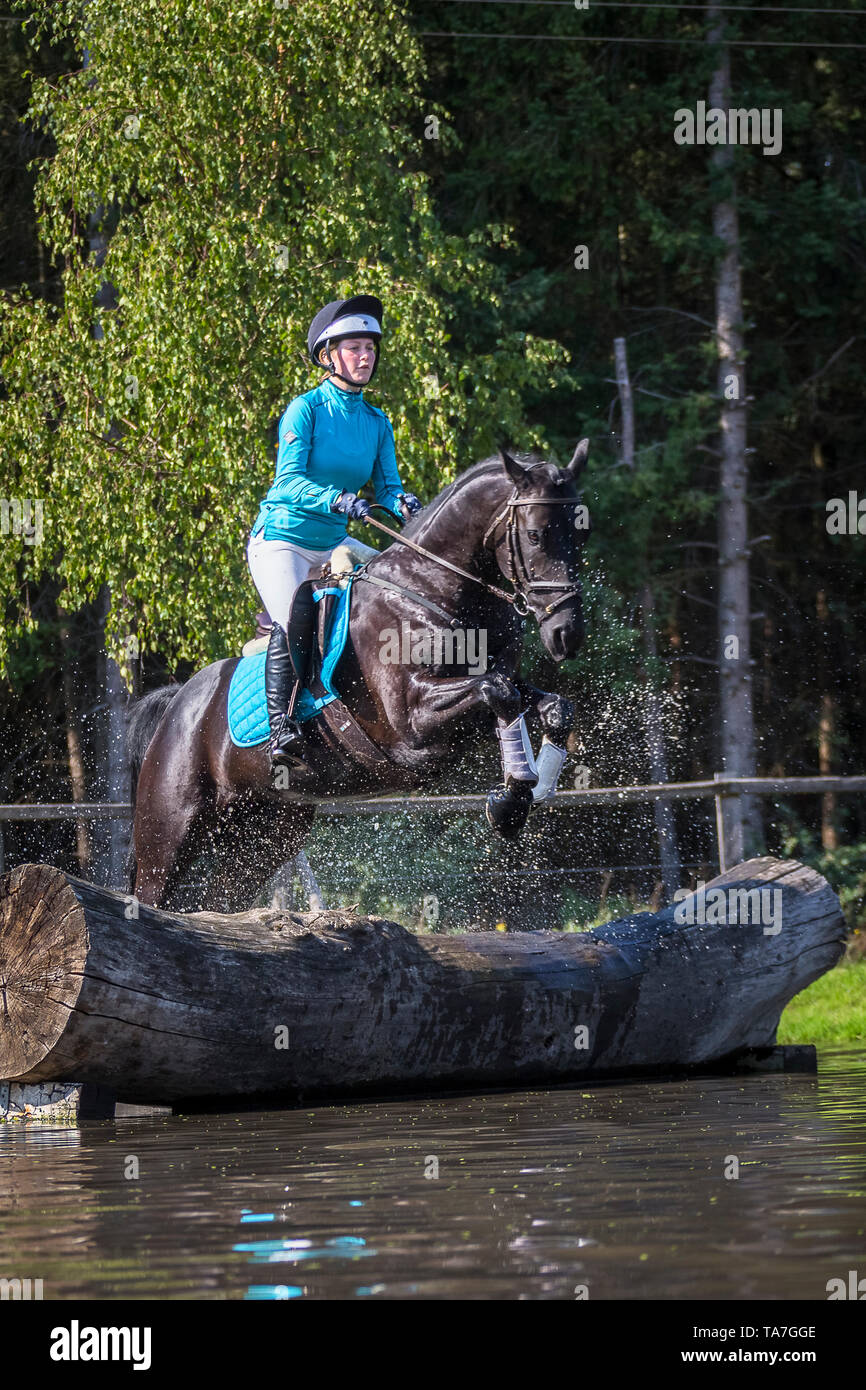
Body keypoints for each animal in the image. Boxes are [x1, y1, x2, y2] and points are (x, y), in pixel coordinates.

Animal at [127, 439, 589, 906]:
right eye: (535, 535)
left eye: (580, 534)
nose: (566, 634)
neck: (433, 587)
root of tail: (178, 703)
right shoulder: (410, 724)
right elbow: (499, 692)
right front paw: (510, 804)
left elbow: (553, 707)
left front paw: (526, 793)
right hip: (169, 834)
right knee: (153, 893)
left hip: (262, 838)